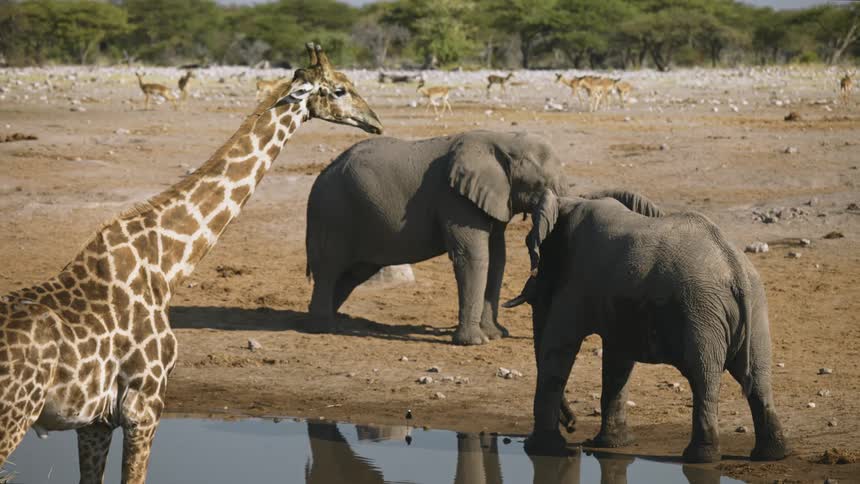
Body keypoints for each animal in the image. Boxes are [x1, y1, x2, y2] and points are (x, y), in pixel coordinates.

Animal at [0, 43, 382, 484]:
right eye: (339, 89)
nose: (376, 122)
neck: (166, 267)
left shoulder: (95, 422)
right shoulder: (144, 404)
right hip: (14, 414)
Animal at [305, 130, 567, 345]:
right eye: (541, 183)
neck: (503, 139)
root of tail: (323, 173)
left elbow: (497, 258)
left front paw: (496, 335)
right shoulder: (455, 199)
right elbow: (474, 256)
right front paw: (475, 342)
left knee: (354, 273)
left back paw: (334, 319)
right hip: (333, 212)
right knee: (330, 268)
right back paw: (324, 327)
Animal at [503, 190, 789, 463]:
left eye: (528, 245)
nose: (573, 426)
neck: (571, 201)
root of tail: (735, 268)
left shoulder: (575, 282)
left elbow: (558, 348)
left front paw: (542, 448)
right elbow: (618, 361)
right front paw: (613, 444)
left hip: (702, 311)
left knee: (704, 377)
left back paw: (700, 457)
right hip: (752, 309)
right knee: (758, 377)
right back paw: (772, 455)